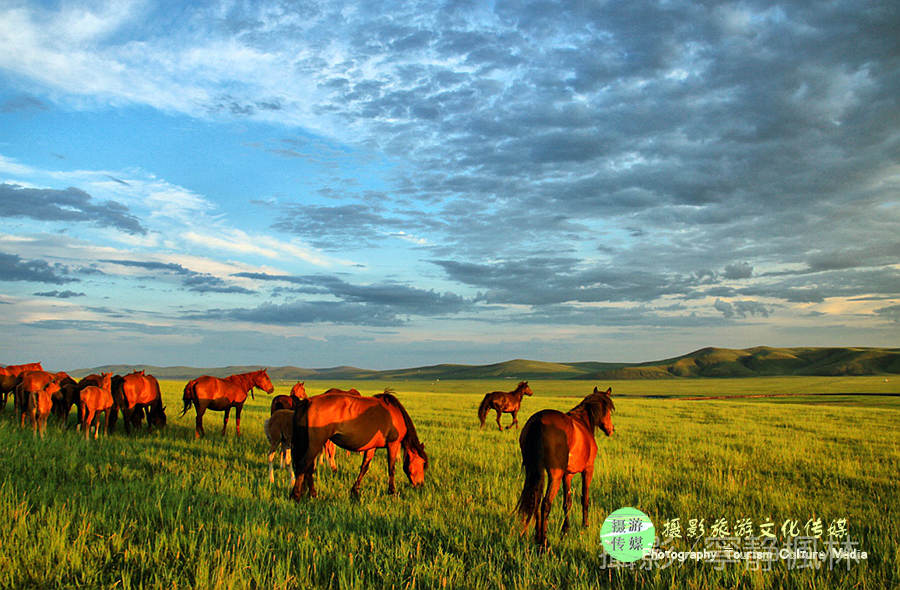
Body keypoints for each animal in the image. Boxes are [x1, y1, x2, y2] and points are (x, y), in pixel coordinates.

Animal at [290, 390, 428, 502]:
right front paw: (392, 492)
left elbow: (364, 467)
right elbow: (391, 468)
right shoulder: (392, 445)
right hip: (315, 444)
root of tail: (308, 402)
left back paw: (311, 494)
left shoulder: (372, 447)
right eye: (422, 463)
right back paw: (297, 496)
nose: (421, 485)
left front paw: (355, 490)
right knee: (304, 465)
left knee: (308, 468)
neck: (395, 414)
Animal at [516, 388, 616, 552]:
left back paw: (537, 538)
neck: (583, 422)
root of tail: (538, 421)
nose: (611, 429)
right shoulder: (588, 470)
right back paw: (544, 543)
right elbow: (584, 498)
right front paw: (585, 525)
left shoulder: (567, 475)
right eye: (608, 410)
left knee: (536, 501)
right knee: (545, 504)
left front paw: (565, 530)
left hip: (535, 471)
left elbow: (567, 502)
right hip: (554, 476)